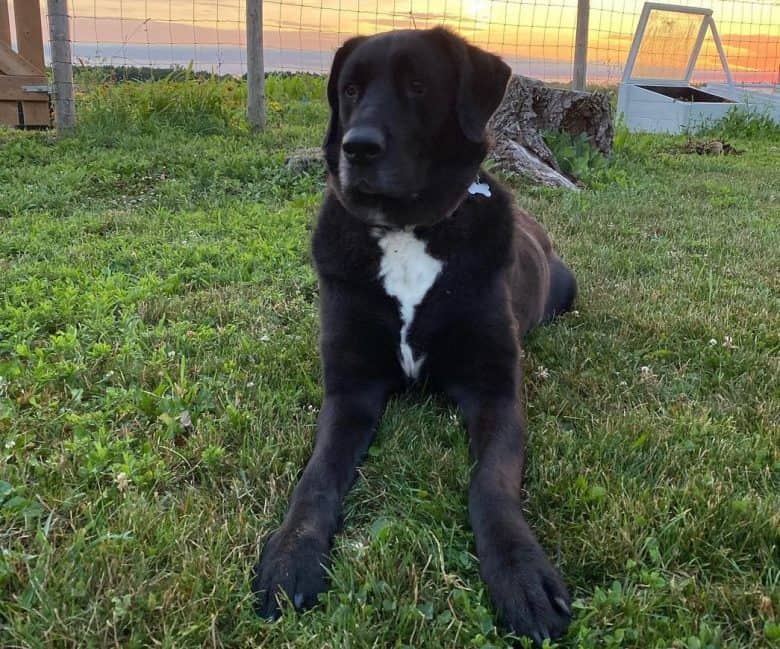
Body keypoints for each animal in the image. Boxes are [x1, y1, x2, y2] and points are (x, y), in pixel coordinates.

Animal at [253, 26, 576, 644]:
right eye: (350, 90)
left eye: (419, 86)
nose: (357, 148)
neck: (406, 234)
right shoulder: (350, 391)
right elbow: (316, 477)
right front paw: (290, 555)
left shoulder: (495, 392)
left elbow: (490, 484)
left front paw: (520, 574)